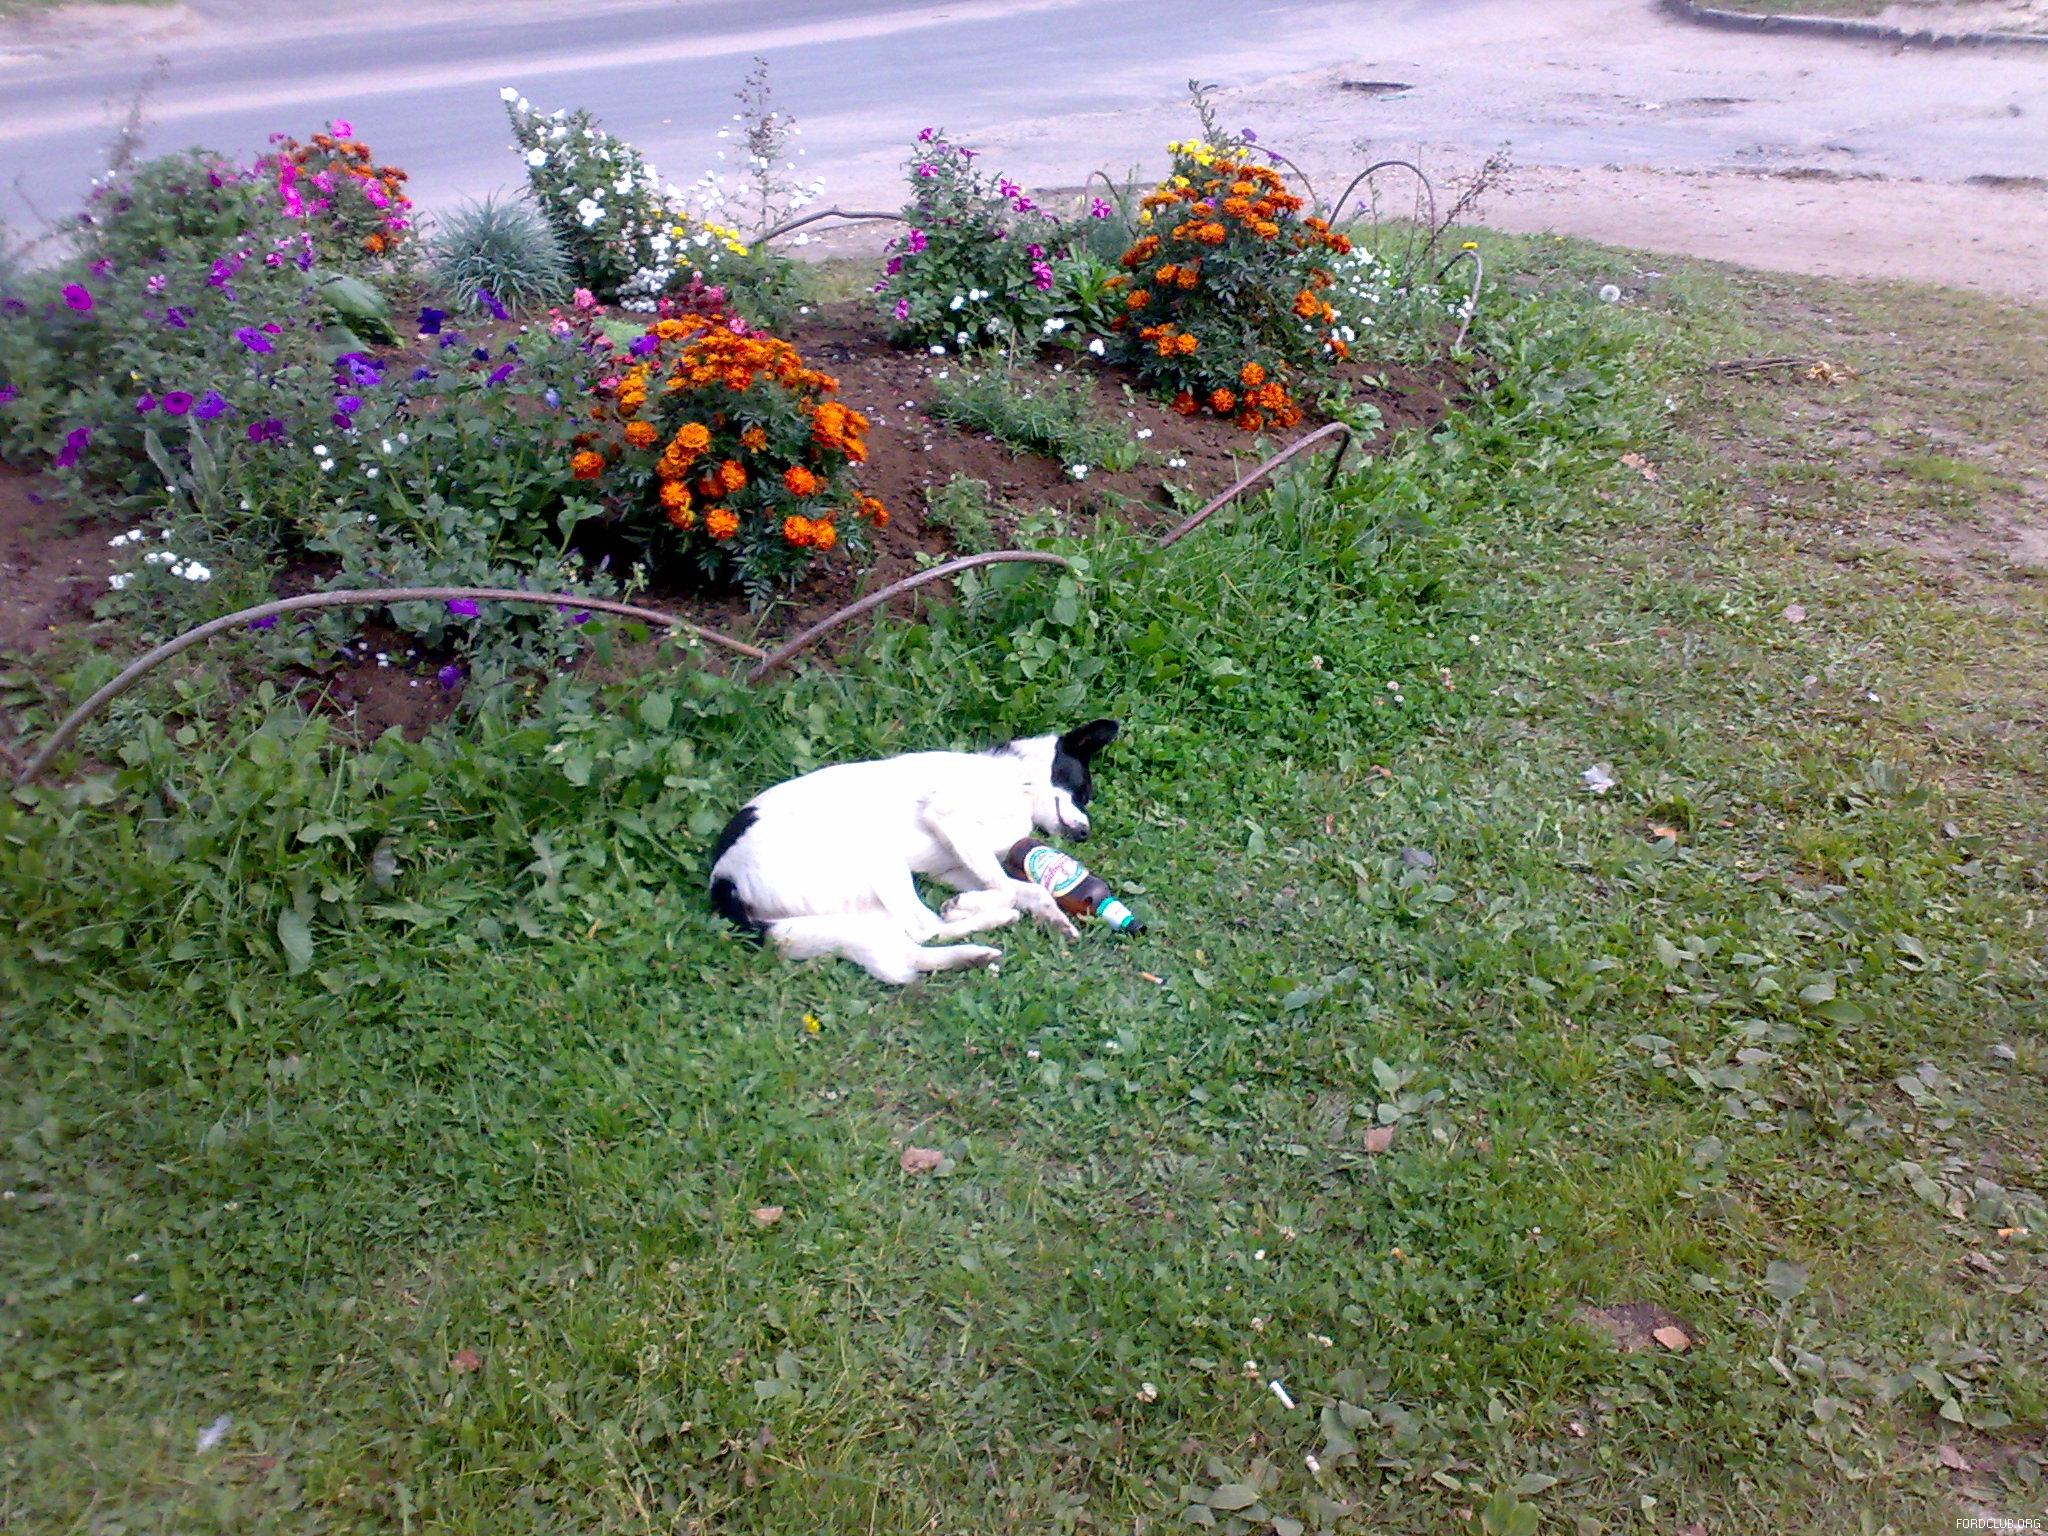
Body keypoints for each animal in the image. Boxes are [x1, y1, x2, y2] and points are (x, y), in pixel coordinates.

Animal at [707, 719, 1121, 983]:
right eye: (1082, 791)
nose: (1084, 833)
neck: (1014, 780)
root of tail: (722, 880)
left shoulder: (954, 866)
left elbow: (1027, 889)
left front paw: (1054, 917)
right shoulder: (950, 819)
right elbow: (1004, 888)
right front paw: (964, 906)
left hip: (856, 910)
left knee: (913, 944)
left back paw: (975, 951)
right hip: (876, 855)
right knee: (923, 929)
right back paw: (992, 922)